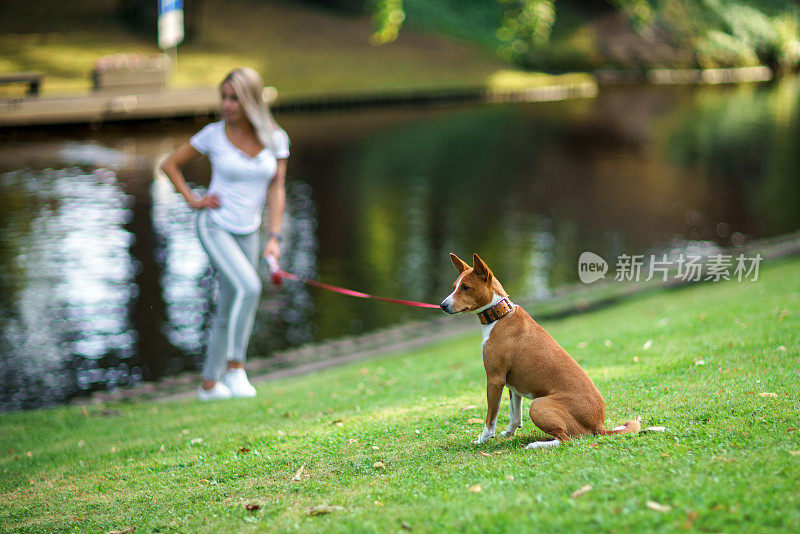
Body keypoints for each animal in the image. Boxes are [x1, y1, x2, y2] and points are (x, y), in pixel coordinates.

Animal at [440, 253, 640, 450]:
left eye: (466, 287)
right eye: (454, 287)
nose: (442, 305)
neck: (500, 316)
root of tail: (598, 424)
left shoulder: (495, 379)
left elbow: (490, 418)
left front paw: (483, 439)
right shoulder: (512, 384)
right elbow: (515, 414)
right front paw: (510, 433)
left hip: (538, 405)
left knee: (566, 439)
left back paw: (536, 444)